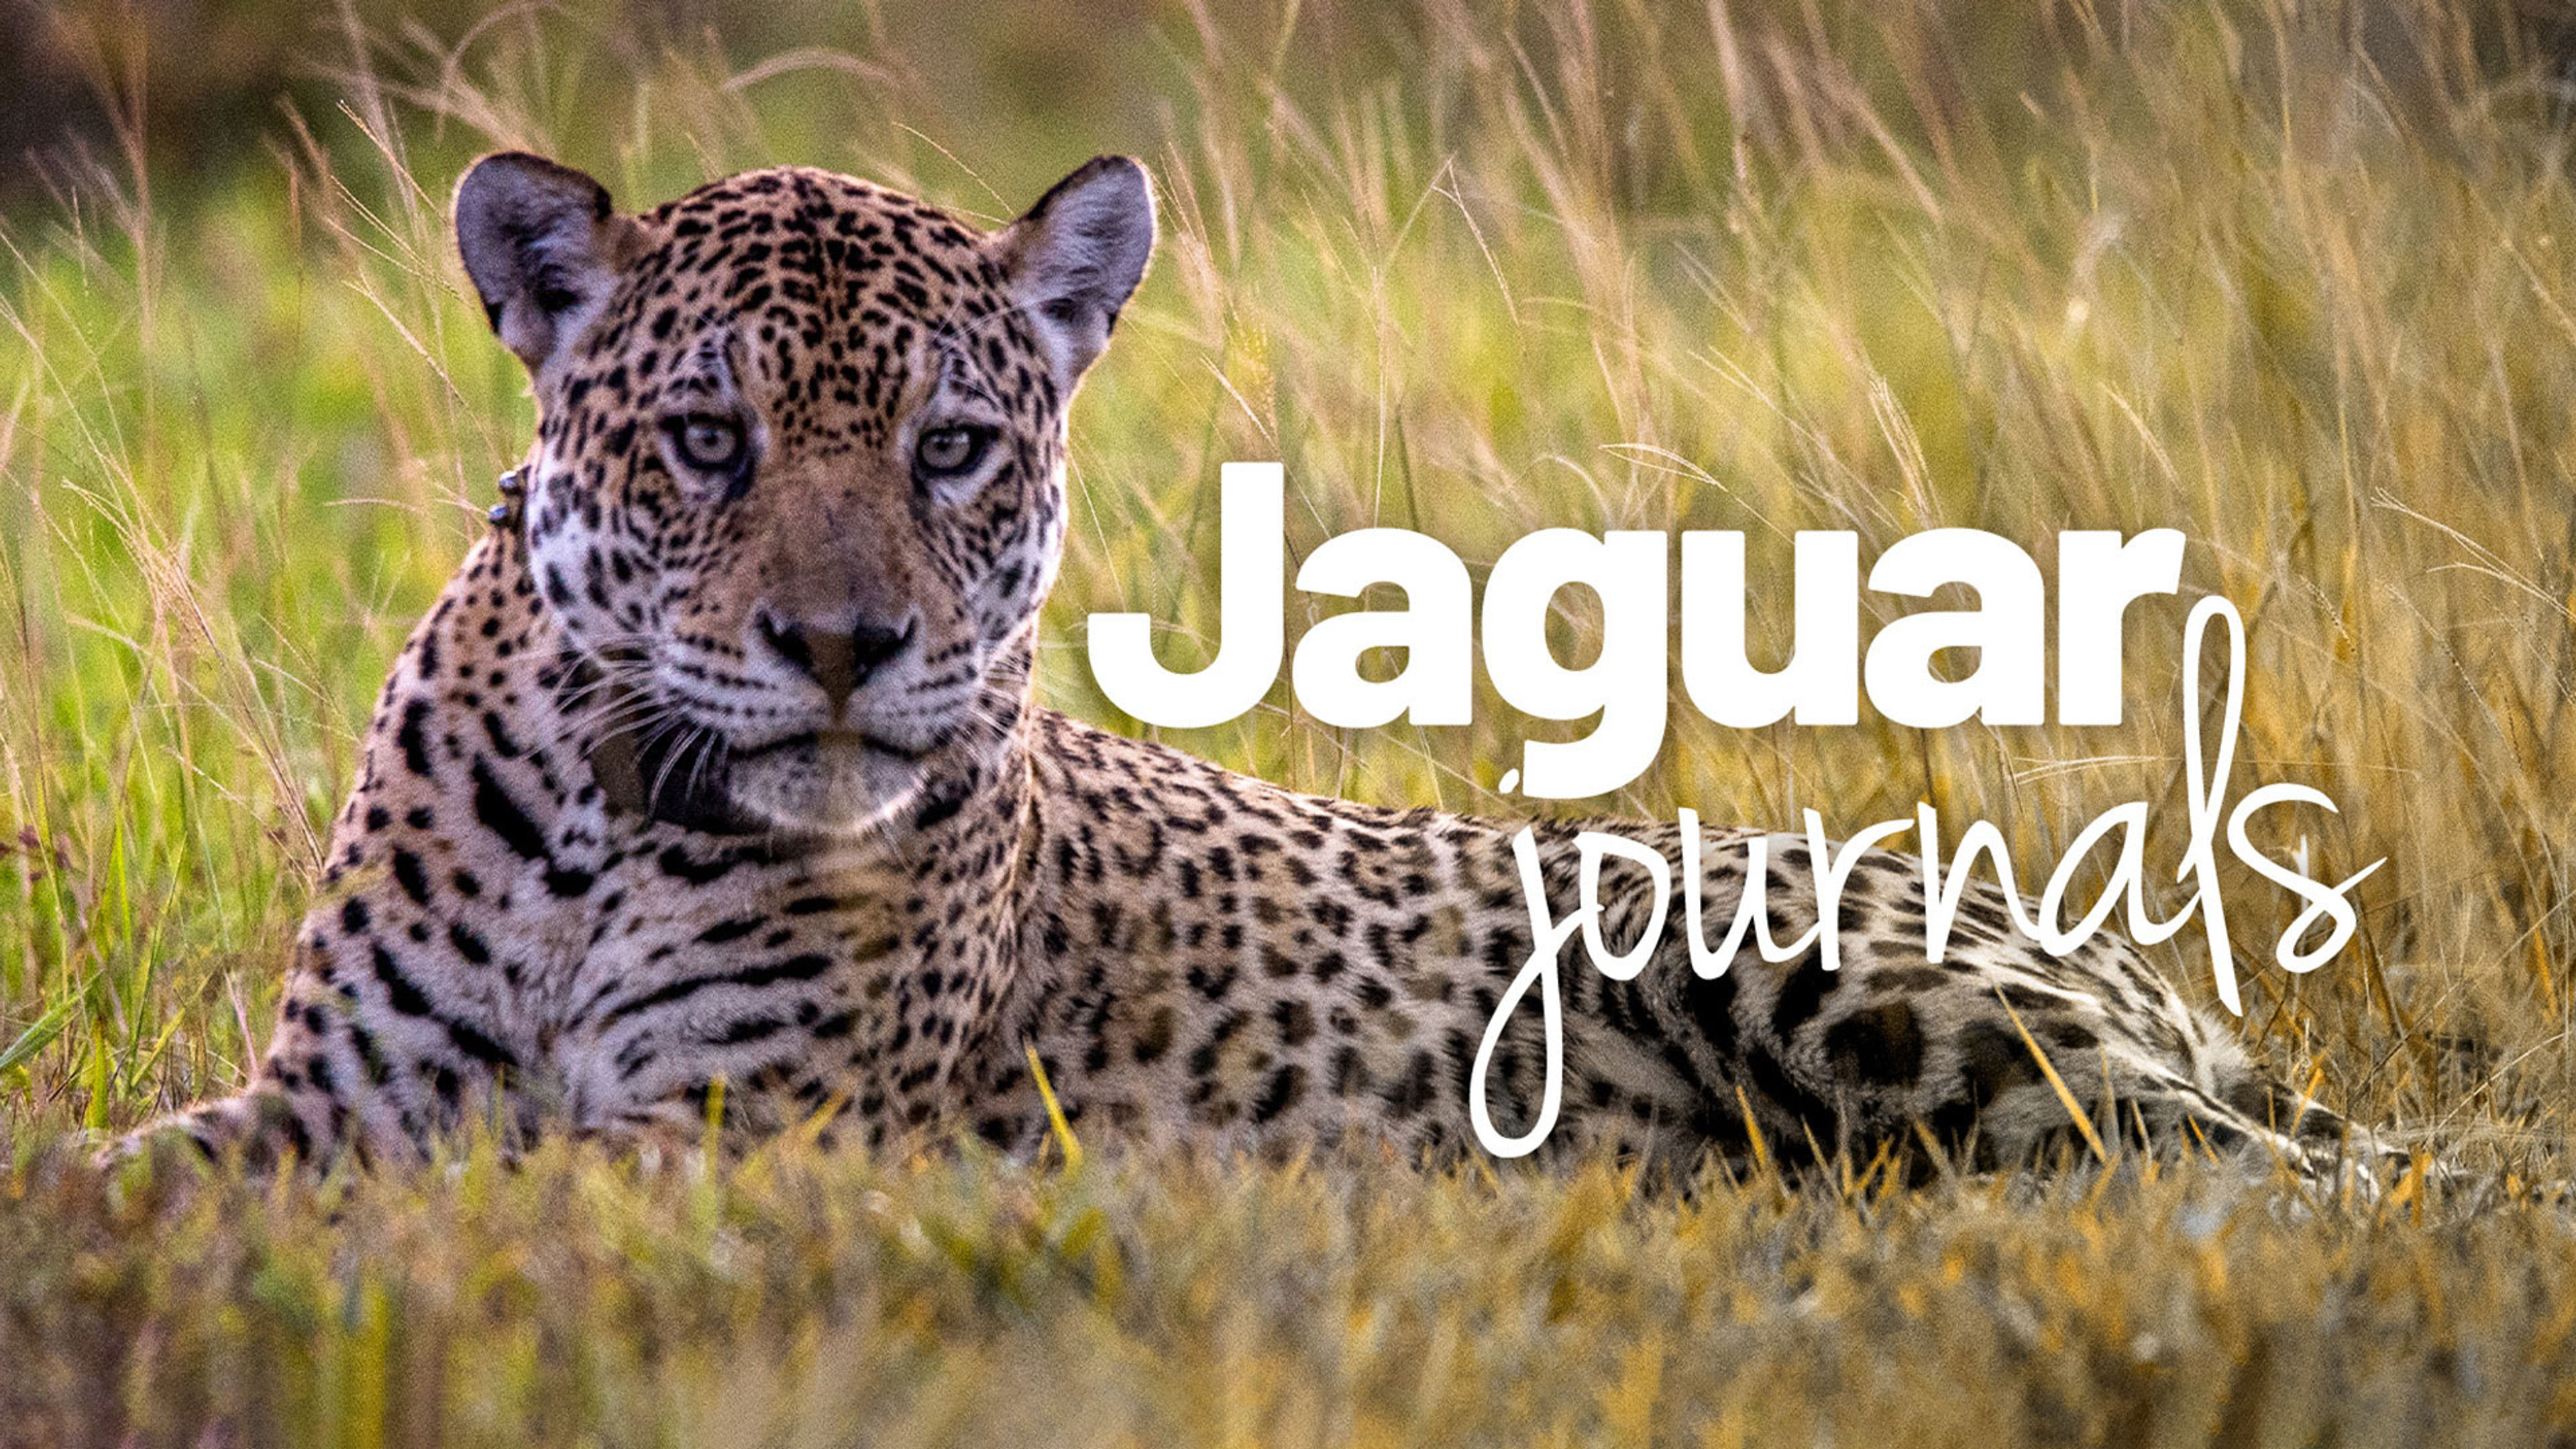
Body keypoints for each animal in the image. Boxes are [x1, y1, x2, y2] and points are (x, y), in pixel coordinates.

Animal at [109, 149, 2390, 1187]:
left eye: (952, 448)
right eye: (707, 441)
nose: (844, 648)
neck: (600, 832)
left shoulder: (751, 1131)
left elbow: (494, 1177)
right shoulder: (329, 1092)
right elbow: (133, 1174)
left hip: (1856, 986)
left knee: (2300, 1177)